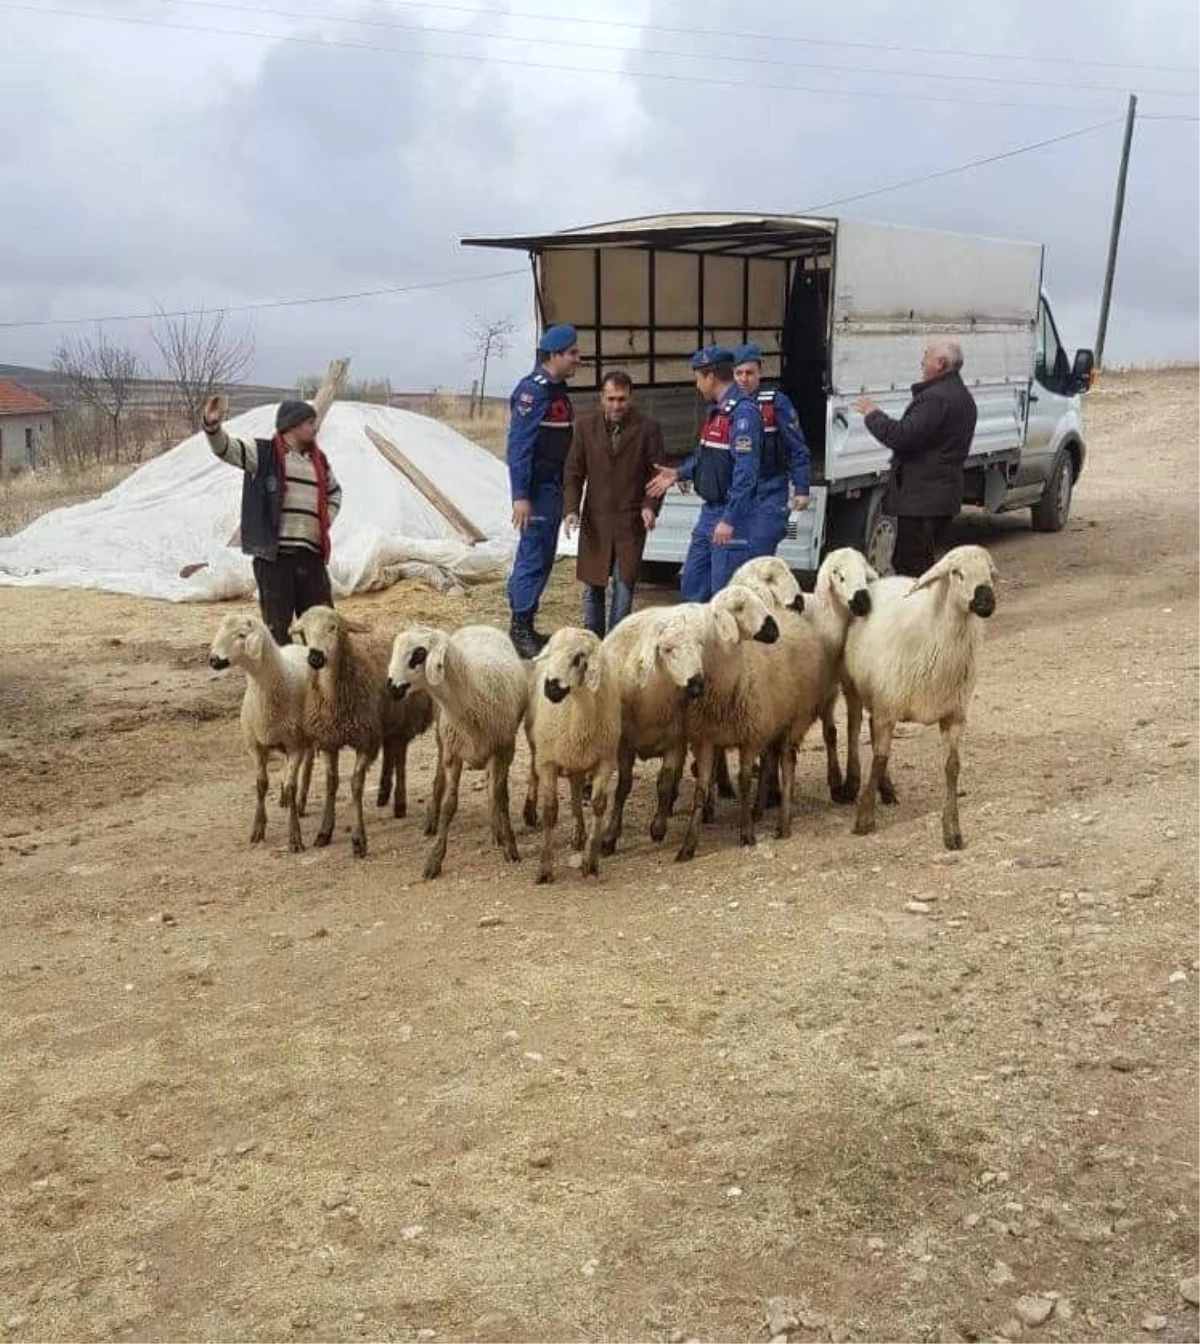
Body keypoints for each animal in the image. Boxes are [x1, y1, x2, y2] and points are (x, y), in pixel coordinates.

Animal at [209, 612, 313, 849]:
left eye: (241, 635)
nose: (213, 660)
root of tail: (299, 646)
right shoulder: (254, 745)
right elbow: (261, 785)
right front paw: (258, 828)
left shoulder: (295, 744)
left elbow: (292, 786)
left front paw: (295, 835)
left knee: (308, 765)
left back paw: (301, 801)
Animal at [389, 626, 529, 881]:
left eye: (418, 653)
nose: (391, 687)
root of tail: (479, 625)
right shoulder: (453, 754)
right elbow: (449, 805)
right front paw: (434, 860)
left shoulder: (504, 749)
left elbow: (500, 796)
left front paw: (509, 845)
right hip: (442, 739)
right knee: (438, 780)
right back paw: (431, 821)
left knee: (492, 788)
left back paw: (496, 830)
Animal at [521, 626, 623, 881]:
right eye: (551, 652)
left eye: (578, 659)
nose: (550, 688)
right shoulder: (547, 761)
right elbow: (550, 811)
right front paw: (544, 869)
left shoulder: (606, 761)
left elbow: (598, 805)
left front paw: (591, 861)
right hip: (535, 743)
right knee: (533, 773)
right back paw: (530, 811)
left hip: (577, 760)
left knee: (576, 792)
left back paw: (579, 832)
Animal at [838, 537, 999, 844]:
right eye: (956, 573)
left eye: (989, 572)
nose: (986, 601)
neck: (933, 634)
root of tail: (888, 578)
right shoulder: (888, 709)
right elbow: (879, 759)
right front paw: (864, 818)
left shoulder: (954, 715)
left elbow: (952, 766)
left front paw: (952, 829)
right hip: (855, 688)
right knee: (857, 731)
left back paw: (886, 790)